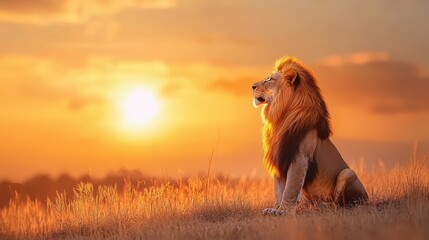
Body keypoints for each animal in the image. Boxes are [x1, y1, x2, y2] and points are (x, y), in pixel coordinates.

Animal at [251, 56, 368, 216]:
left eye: (270, 79)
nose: (251, 86)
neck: (280, 118)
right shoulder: (279, 156)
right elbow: (279, 189)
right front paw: (275, 208)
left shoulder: (299, 157)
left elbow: (290, 188)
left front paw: (284, 211)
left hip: (347, 173)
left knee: (340, 204)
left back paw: (325, 206)